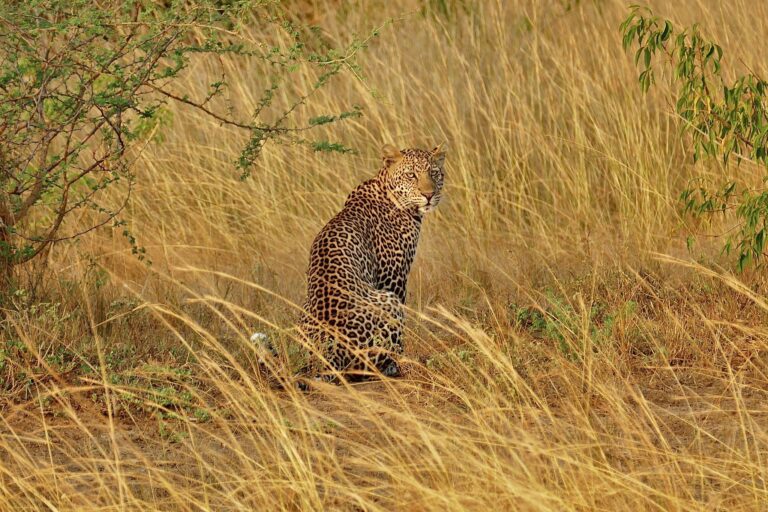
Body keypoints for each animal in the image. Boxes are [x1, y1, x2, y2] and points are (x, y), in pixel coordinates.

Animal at [298, 143, 448, 380]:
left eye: (434, 173)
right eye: (411, 175)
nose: (429, 195)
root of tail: (330, 354)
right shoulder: (393, 277)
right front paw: (399, 360)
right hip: (387, 300)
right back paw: (393, 365)